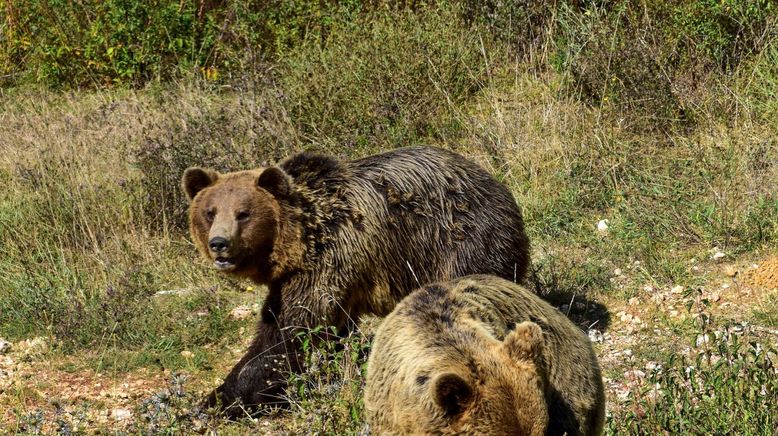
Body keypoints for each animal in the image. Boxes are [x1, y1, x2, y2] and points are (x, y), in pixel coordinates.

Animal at [180, 146, 532, 416]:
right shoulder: (297, 279)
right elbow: (291, 327)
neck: (299, 240)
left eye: (243, 213)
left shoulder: (332, 259)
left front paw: (218, 400)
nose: (219, 243)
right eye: (210, 212)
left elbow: (291, 334)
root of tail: (498, 185)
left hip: (459, 241)